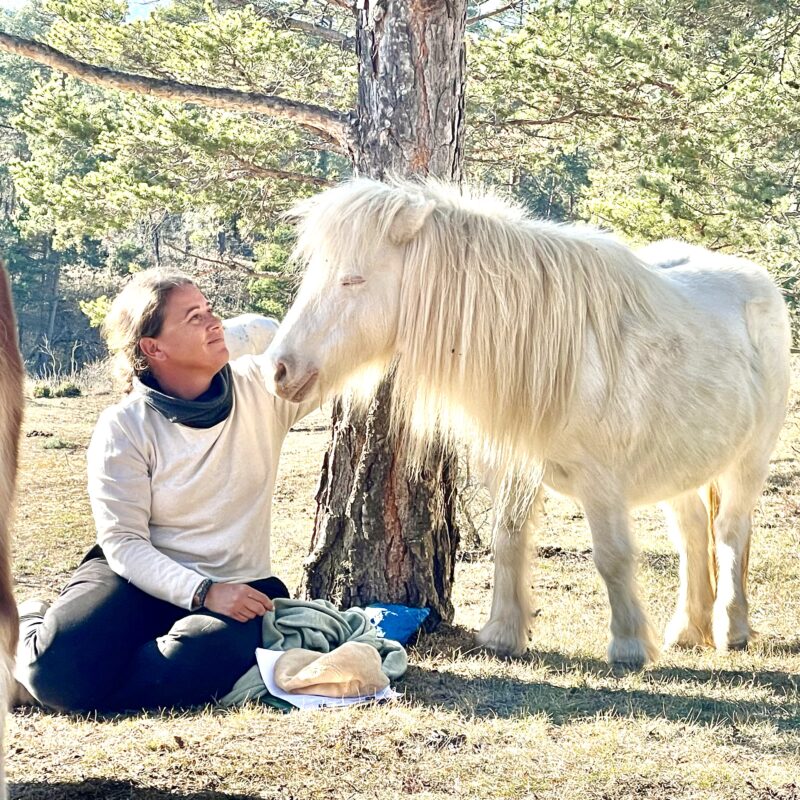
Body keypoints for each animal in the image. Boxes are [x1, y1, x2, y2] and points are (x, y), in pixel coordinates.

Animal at [266, 180, 792, 668]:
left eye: (353, 280)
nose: (279, 369)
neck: (550, 347)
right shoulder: (514, 467)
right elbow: (508, 541)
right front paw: (503, 634)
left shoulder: (601, 484)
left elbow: (612, 555)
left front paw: (627, 647)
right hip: (682, 465)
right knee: (692, 534)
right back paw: (686, 631)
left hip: (749, 460)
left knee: (730, 531)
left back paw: (731, 629)